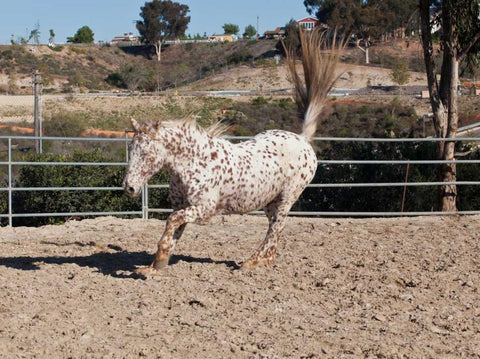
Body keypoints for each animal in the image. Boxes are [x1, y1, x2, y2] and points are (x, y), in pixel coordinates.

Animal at [122, 28, 344, 276]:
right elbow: (173, 230)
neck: (194, 163)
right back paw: (265, 260)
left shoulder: (203, 210)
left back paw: (251, 262)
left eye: (147, 153)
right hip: (271, 201)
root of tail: (303, 139)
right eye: (130, 148)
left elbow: (172, 221)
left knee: (276, 227)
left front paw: (159, 259)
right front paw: (153, 266)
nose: (129, 187)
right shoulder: (183, 206)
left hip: (287, 197)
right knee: (274, 228)